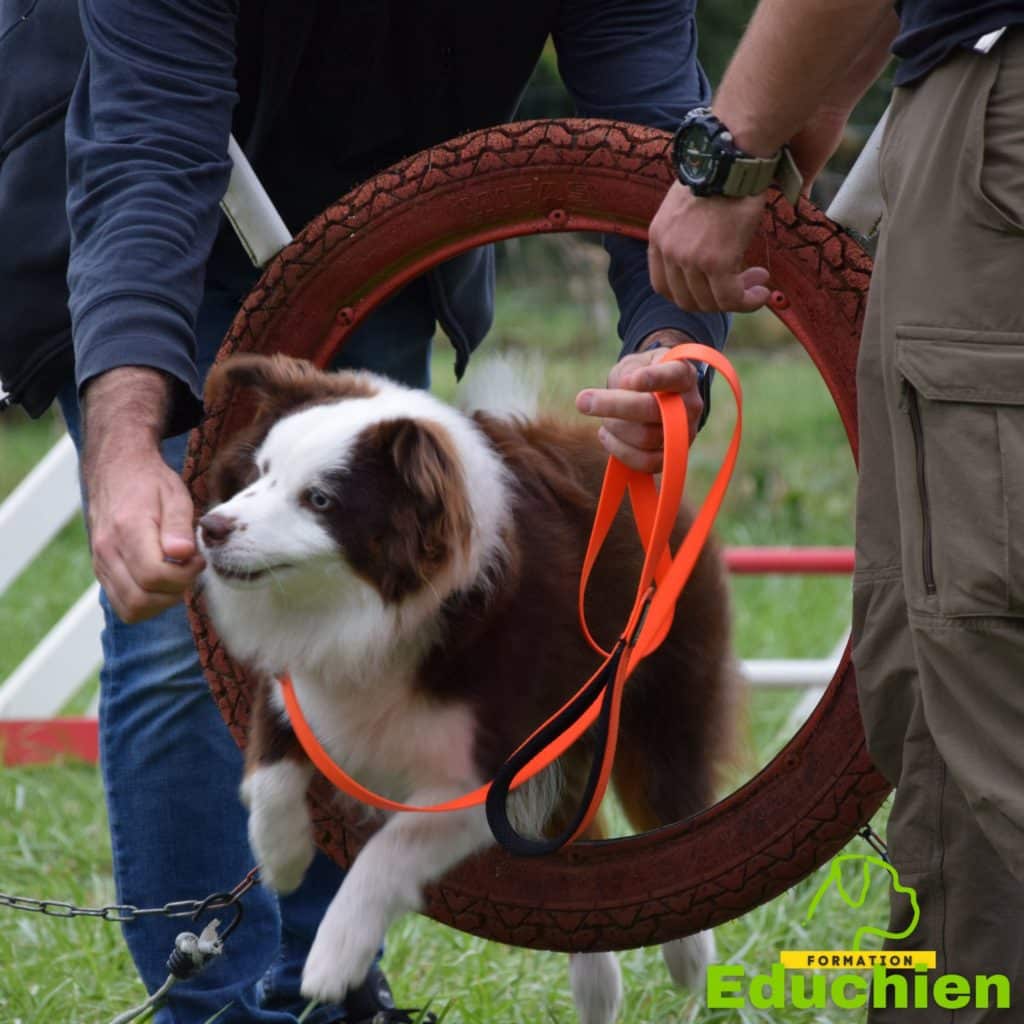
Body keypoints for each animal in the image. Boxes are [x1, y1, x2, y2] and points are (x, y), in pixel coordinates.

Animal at [193, 354, 737, 1024]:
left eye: (319, 499)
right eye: (260, 472)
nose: (211, 527)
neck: (372, 608)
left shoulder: (484, 767)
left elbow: (390, 848)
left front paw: (331, 960)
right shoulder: (308, 675)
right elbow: (270, 768)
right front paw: (282, 858)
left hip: (662, 690)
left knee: (671, 795)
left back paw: (690, 961)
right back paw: (598, 989)